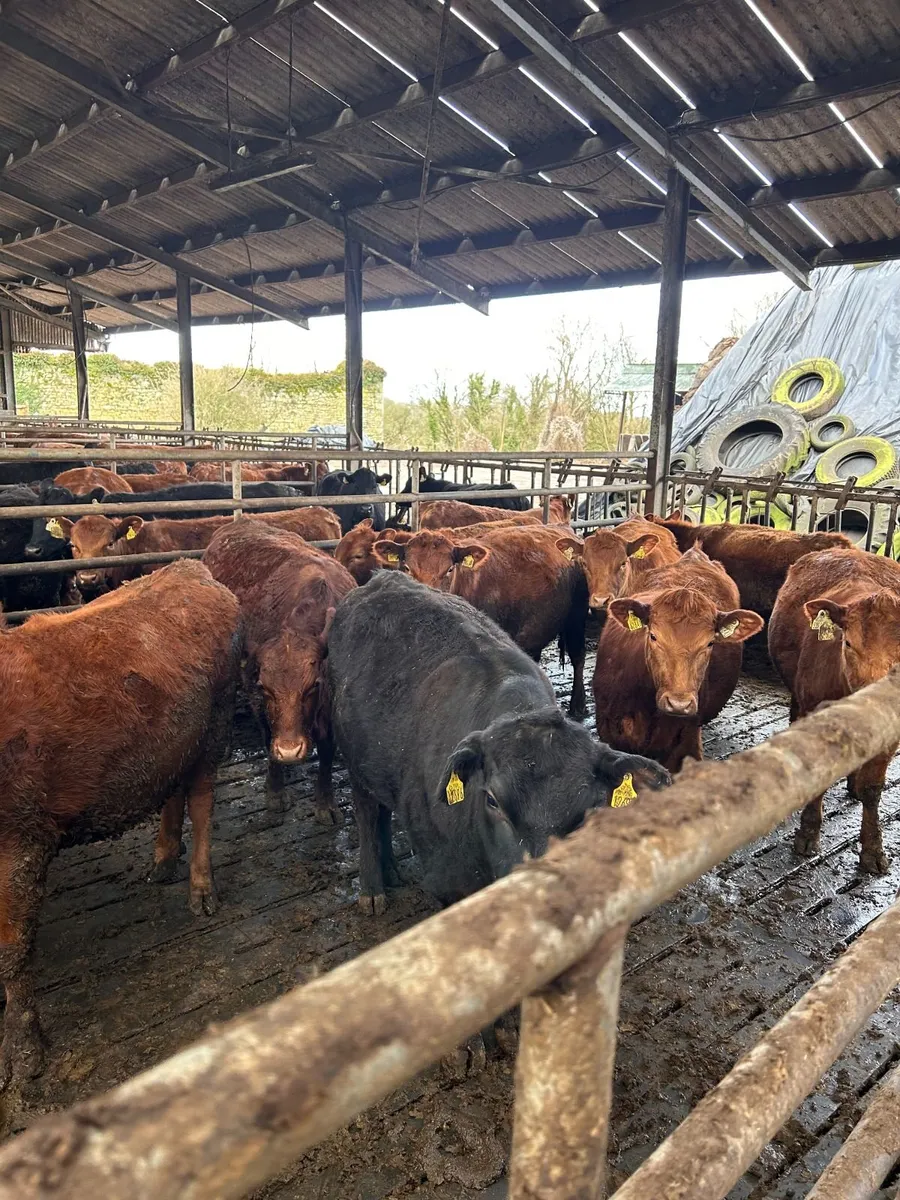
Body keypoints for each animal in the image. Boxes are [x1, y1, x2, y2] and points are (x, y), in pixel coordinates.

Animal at [0, 559, 241, 1087]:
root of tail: (190, 568)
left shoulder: (19, 841)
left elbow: (13, 950)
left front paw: (24, 1054)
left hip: (214, 727)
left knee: (201, 801)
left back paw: (200, 890)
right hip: (172, 739)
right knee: (172, 788)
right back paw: (163, 860)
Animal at [204, 522, 356, 824]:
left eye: (313, 686)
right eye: (265, 687)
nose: (288, 750)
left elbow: (327, 751)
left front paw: (326, 803)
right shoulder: (254, 690)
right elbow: (266, 734)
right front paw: (275, 794)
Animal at [329, 571, 670, 914]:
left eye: (589, 809)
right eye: (492, 799)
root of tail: (383, 578)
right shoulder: (444, 878)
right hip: (354, 761)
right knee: (367, 814)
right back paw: (373, 888)